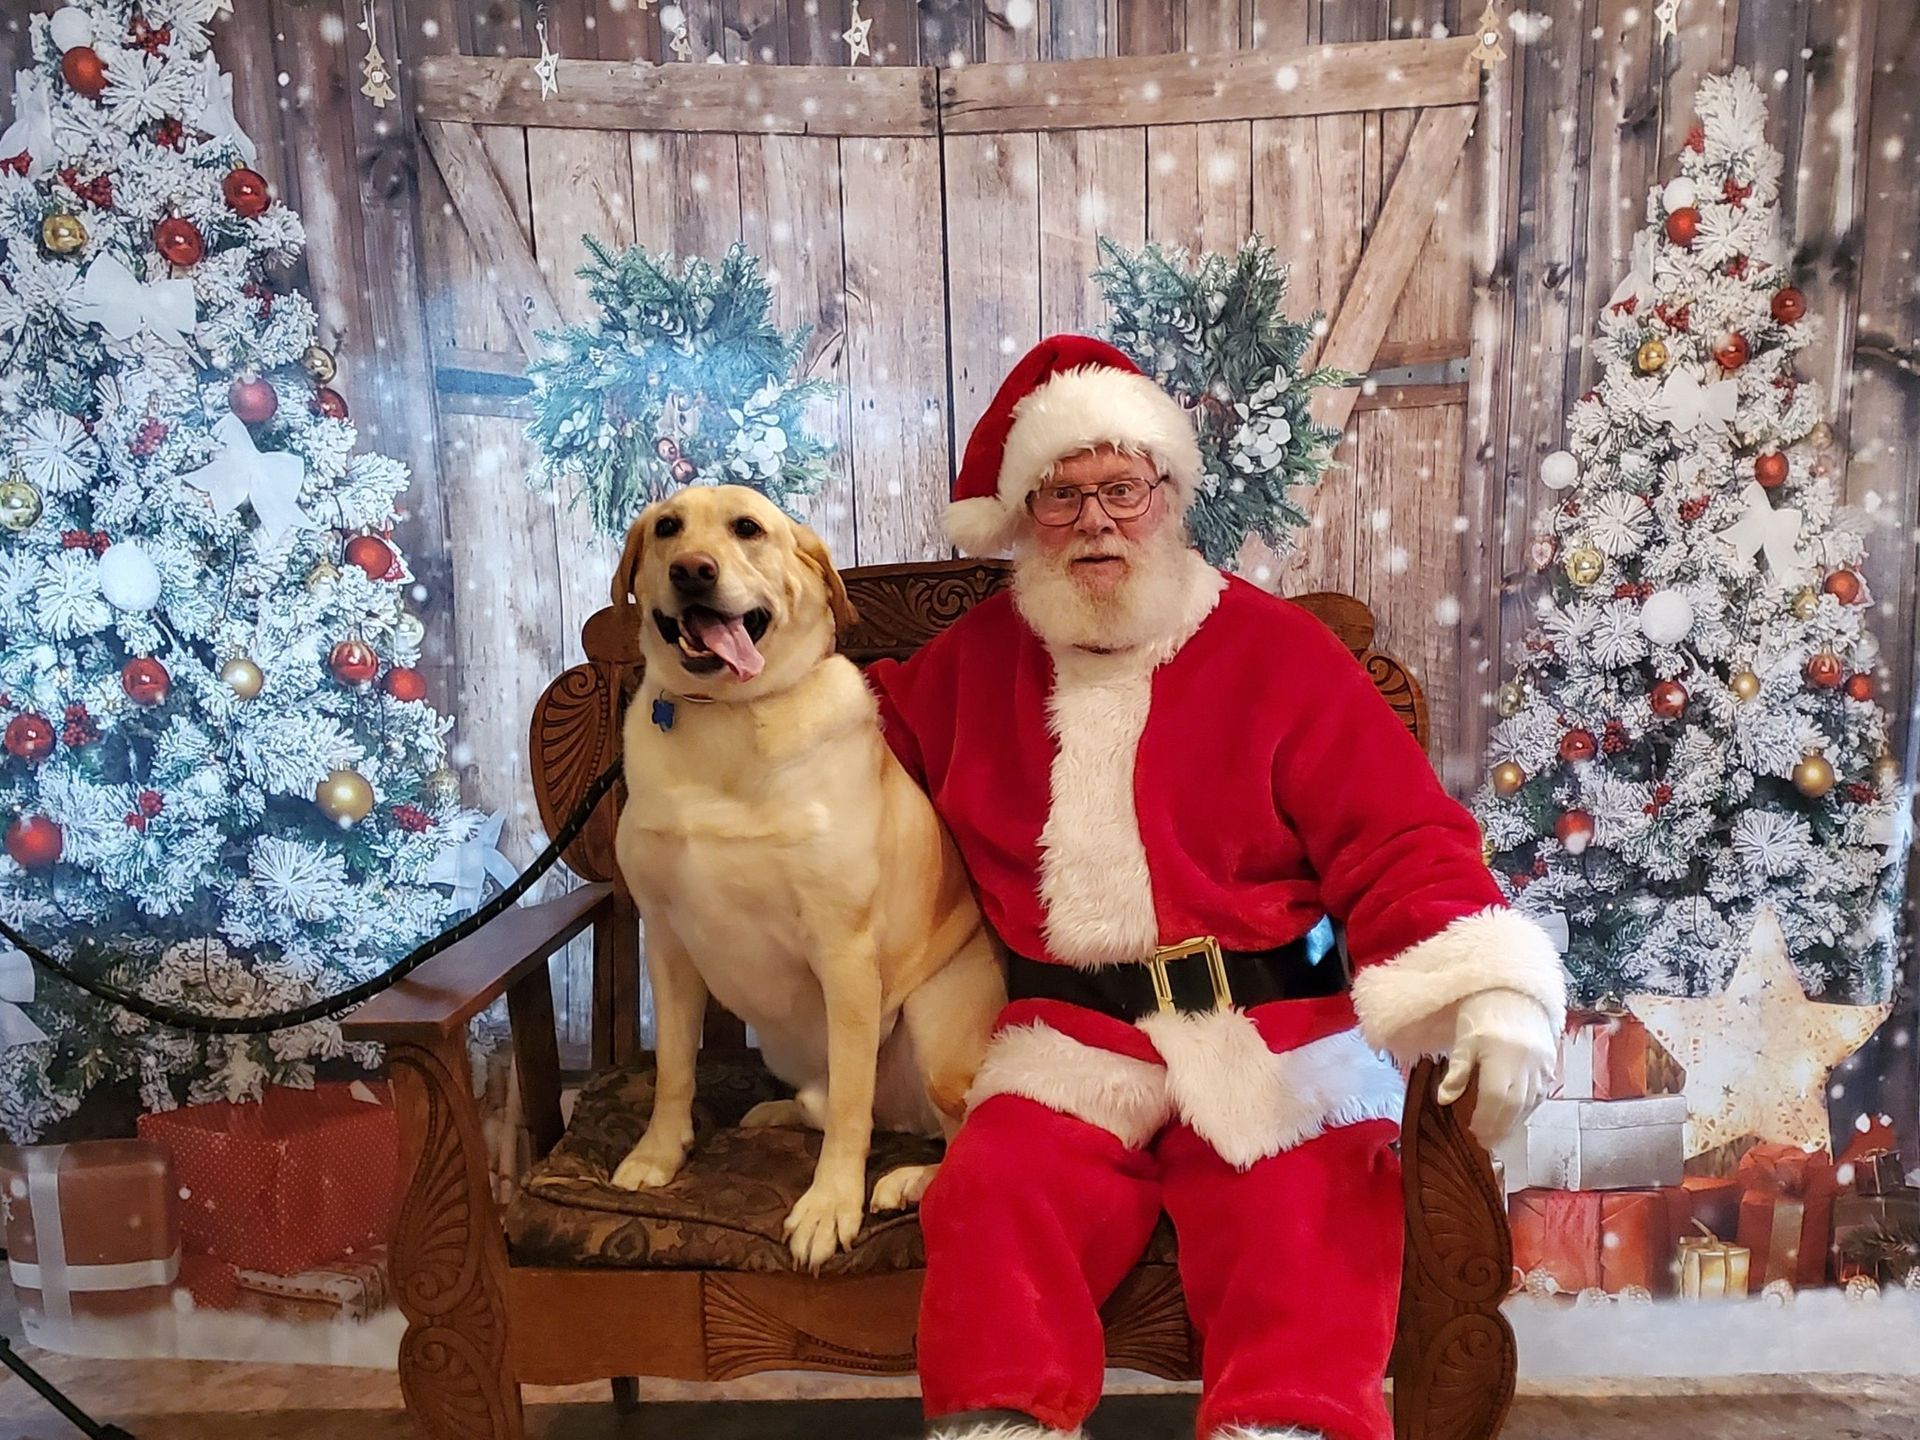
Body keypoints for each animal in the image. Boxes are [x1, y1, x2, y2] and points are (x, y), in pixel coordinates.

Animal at [606, 485, 1005, 1270]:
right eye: (667, 527)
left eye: (748, 529)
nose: (693, 571)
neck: (729, 718)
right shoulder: (665, 941)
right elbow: (673, 1068)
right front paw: (660, 1153)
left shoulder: (843, 952)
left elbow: (851, 1102)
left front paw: (829, 1206)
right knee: (836, 1107)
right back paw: (778, 1112)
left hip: (935, 1029)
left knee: (946, 1132)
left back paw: (907, 1180)